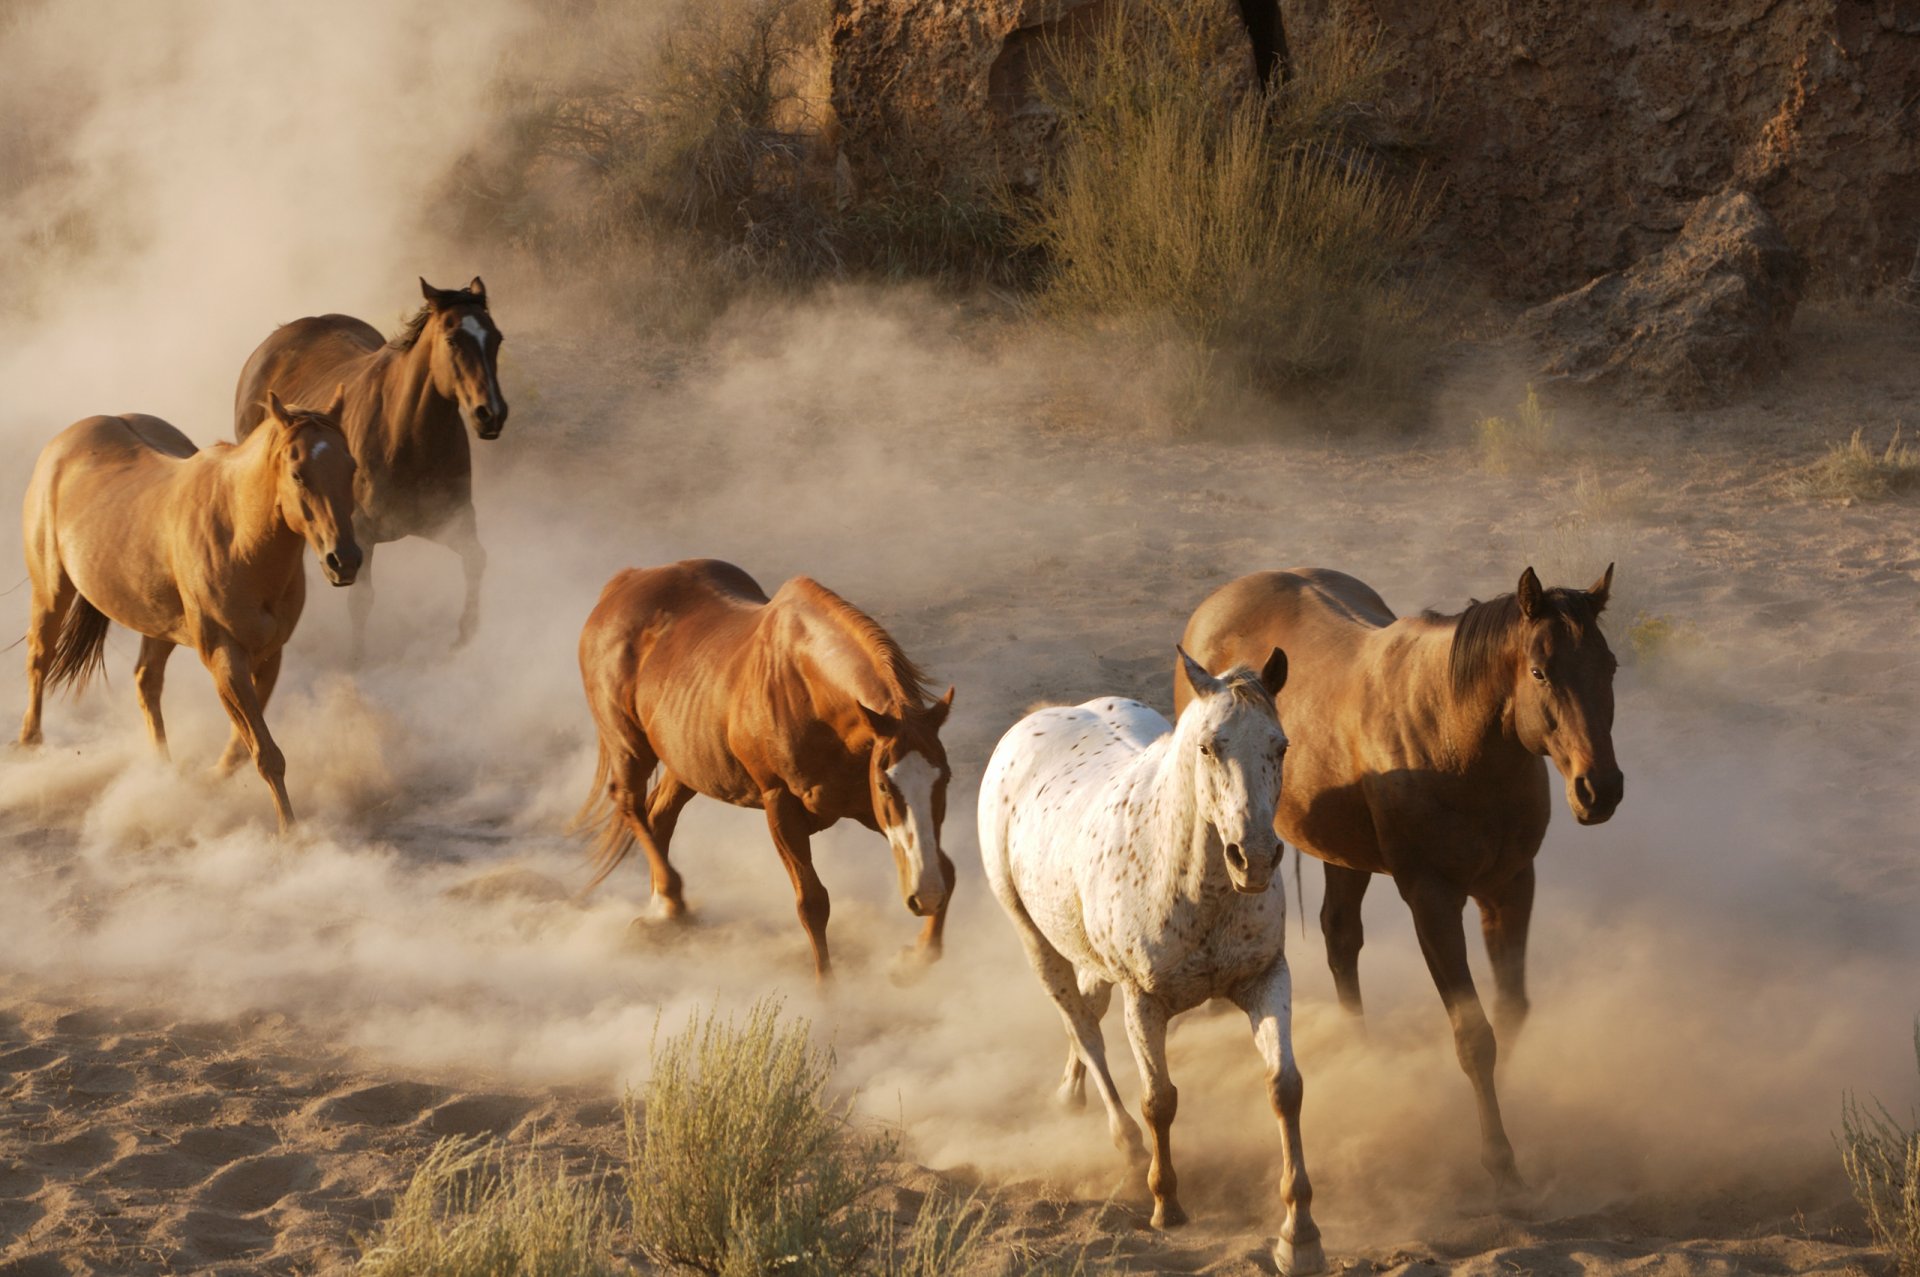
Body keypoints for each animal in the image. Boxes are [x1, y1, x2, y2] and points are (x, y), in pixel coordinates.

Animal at [17, 392, 361, 832]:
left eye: (351, 467)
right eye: (299, 474)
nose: (344, 561)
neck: (239, 538)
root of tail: (65, 440)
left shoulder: (269, 656)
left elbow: (244, 749)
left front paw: (210, 782)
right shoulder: (223, 656)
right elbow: (266, 753)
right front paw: (291, 833)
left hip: (157, 624)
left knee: (146, 681)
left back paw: (163, 773)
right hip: (50, 590)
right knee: (39, 659)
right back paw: (30, 747)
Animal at [233, 276, 507, 661]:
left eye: (496, 338)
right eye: (453, 340)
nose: (491, 414)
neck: (406, 436)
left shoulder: (452, 520)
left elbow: (476, 560)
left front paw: (467, 636)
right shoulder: (358, 534)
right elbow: (361, 600)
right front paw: (357, 659)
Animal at [572, 559, 957, 980]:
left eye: (945, 779)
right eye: (886, 786)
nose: (925, 895)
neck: (809, 691)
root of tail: (624, 582)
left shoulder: (862, 806)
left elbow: (947, 868)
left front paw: (915, 959)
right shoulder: (782, 806)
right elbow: (812, 903)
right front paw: (827, 990)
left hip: (685, 762)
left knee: (659, 816)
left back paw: (663, 912)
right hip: (629, 746)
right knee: (629, 804)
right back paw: (670, 902)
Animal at [978, 647, 1324, 1276]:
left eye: (1281, 746)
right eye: (1209, 747)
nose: (1255, 858)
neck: (1194, 884)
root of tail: (1042, 717)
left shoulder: (1266, 980)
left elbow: (1284, 1088)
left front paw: (1300, 1234)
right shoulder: (1145, 1003)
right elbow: (1159, 1100)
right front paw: (1167, 1204)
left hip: (1086, 954)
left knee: (1086, 1013)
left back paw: (1070, 1094)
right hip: (1035, 940)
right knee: (1084, 1029)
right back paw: (1125, 1143)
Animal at [1178, 565, 1623, 1200]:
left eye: (1608, 667)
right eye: (1540, 671)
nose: (1600, 790)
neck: (1458, 740)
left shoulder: (1510, 887)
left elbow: (1510, 1010)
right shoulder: (1432, 901)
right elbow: (1474, 1035)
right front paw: (1498, 1158)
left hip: (1342, 853)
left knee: (1341, 939)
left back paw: (1363, 1055)